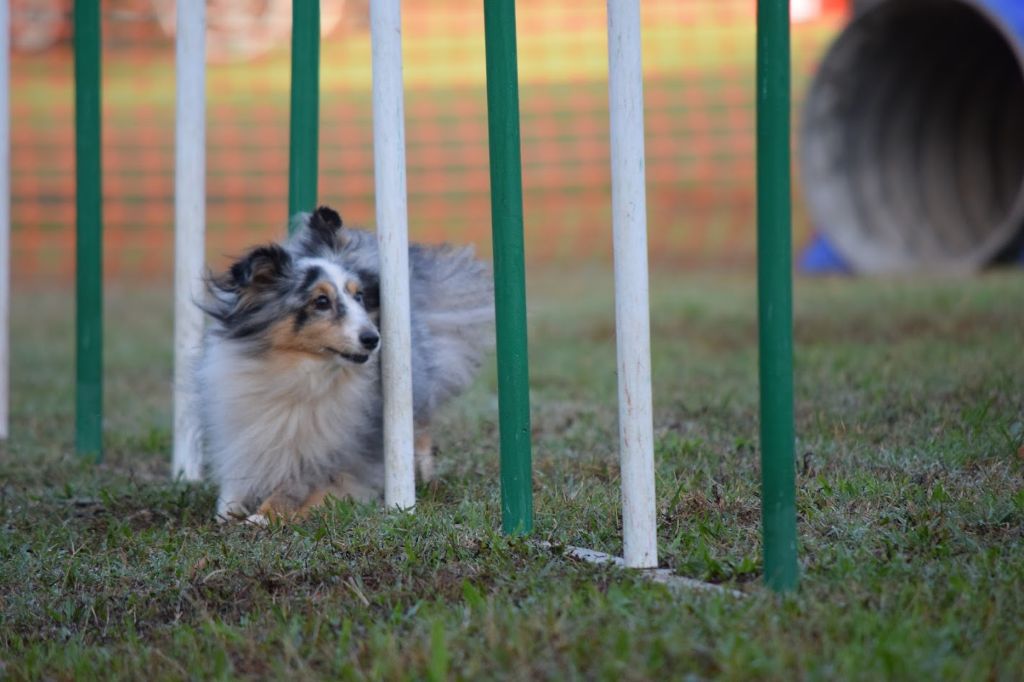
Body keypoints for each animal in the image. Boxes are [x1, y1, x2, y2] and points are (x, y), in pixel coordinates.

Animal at [195, 202, 495, 520]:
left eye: (359, 296)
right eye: (321, 301)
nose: (373, 339)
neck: (297, 369)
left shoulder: (334, 447)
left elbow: (301, 483)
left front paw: (264, 515)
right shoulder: (243, 425)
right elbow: (237, 476)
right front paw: (228, 510)